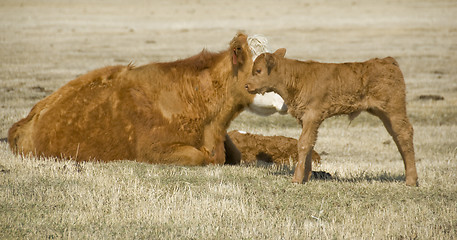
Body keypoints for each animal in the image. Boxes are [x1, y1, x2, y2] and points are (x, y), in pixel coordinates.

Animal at [246, 48, 416, 187]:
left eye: (258, 70)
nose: (247, 86)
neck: (298, 78)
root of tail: (386, 61)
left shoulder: (312, 116)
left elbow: (303, 144)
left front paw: (296, 179)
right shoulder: (305, 119)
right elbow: (310, 143)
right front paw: (306, 177)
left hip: (394, 110)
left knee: (404, 134)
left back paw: (411, 180)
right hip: (385, 114)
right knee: (397, 137)